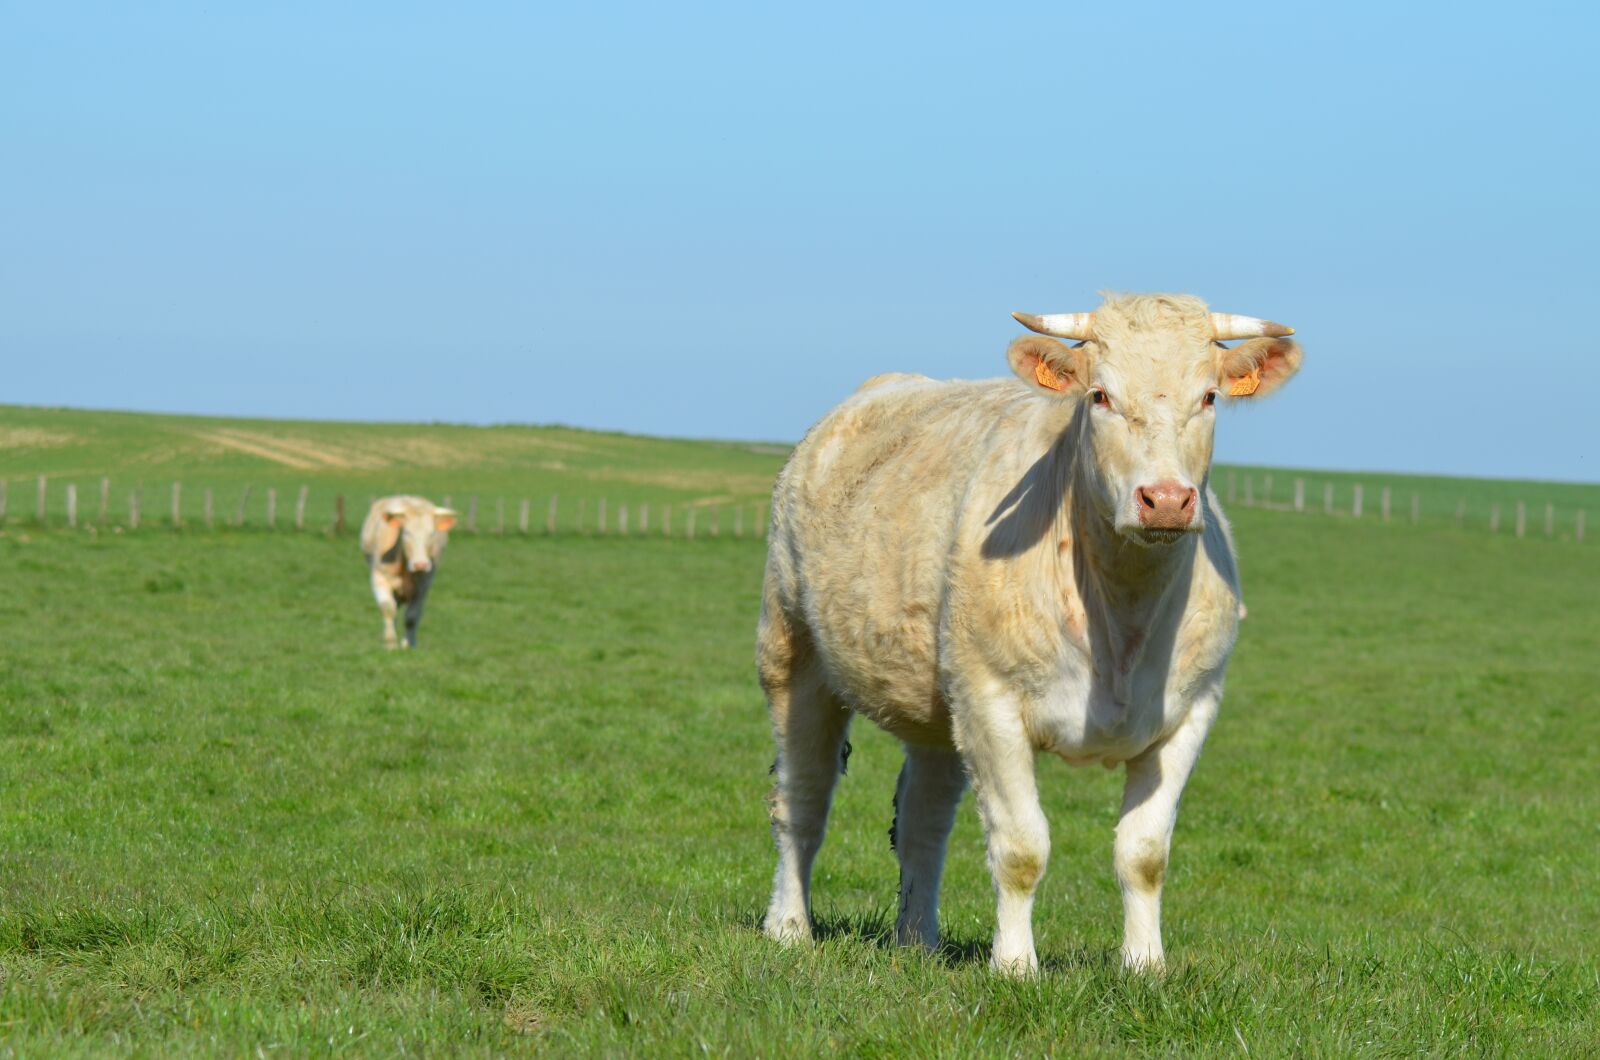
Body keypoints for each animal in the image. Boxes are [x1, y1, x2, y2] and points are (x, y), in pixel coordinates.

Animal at [359, 495, 457, 649]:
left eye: (432, 534)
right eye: (406, 533)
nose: (420, 564)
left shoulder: (422, 586)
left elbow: (412, 616)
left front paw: (408, 645)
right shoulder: (379, 578)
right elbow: (388, 609)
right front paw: (390, 643)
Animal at [757, 292, 1302, 974]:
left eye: (1207, 397)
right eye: (1099, 395)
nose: (1166, 499)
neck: (1121, 617)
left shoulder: (1192, 709)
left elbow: (1144, 853)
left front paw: (1145, 966)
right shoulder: (990, 702)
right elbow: (1021, 847)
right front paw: (1016, 966)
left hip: (938, 704)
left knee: (922, 820)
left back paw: (918, 938)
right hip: (794, 652)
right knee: (801, 801)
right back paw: (788, 927)